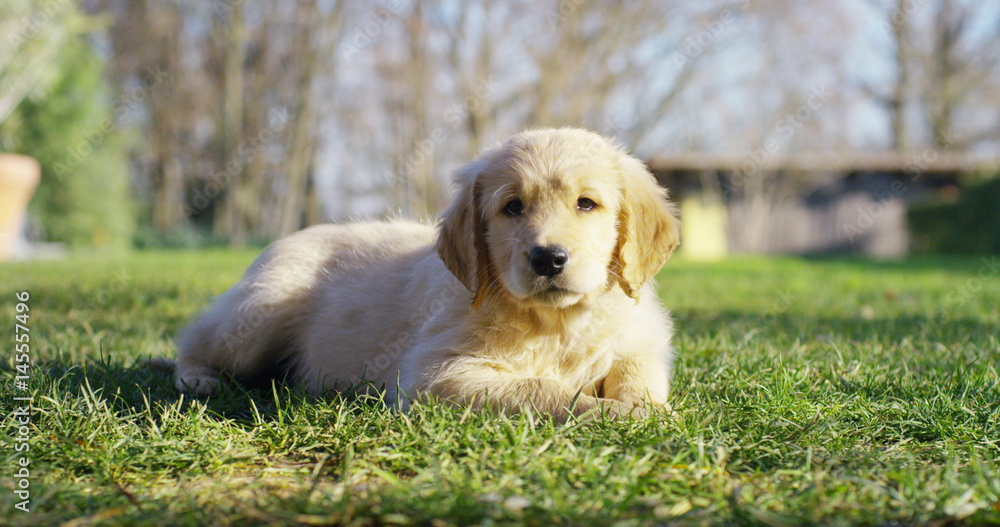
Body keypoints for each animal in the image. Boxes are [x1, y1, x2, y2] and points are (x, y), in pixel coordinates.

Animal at [176, 128, 684, 420]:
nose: (548, 258)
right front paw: (615, 412)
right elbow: (540, 389)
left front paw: (642, 407)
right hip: (258, 315)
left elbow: (637, 373)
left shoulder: (640, 339)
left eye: (587, 204)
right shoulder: (435, 373)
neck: (556, 324)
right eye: (512, 207)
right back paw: (197, 379)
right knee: (193, 338)